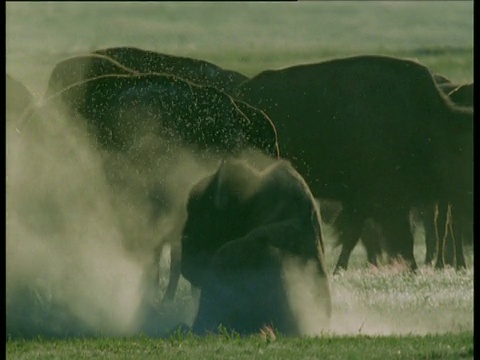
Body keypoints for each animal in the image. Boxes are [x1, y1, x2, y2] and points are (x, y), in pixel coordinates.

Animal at [234, 54, 474, 272]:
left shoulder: (362, 201)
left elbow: (354, 235)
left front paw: (339, 269)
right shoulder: (388, 201)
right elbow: (400, 239)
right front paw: (412, 269)